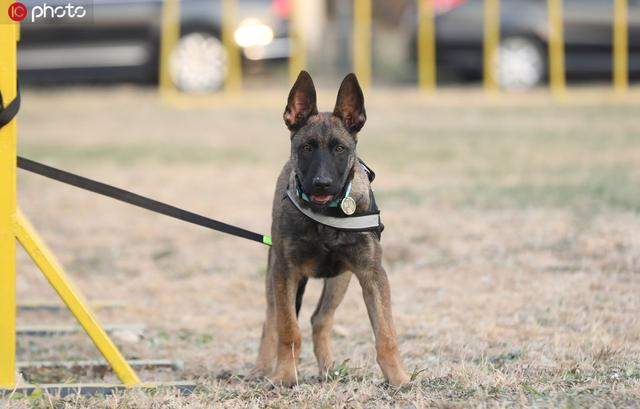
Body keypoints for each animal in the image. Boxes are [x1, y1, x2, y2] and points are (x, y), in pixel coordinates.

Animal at [252, 71, 408, 386]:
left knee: (320, 319)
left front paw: (398, 378)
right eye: (306, 147)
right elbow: (288, 330)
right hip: (275, 275)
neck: (324, 217)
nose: (322, 184)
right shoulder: (286, 272)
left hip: (340, 279)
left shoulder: (371, 273)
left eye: (339, 148)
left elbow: (386, 333)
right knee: (272, 320)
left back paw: (329, 370)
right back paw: (262, 369)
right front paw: (284, 375)